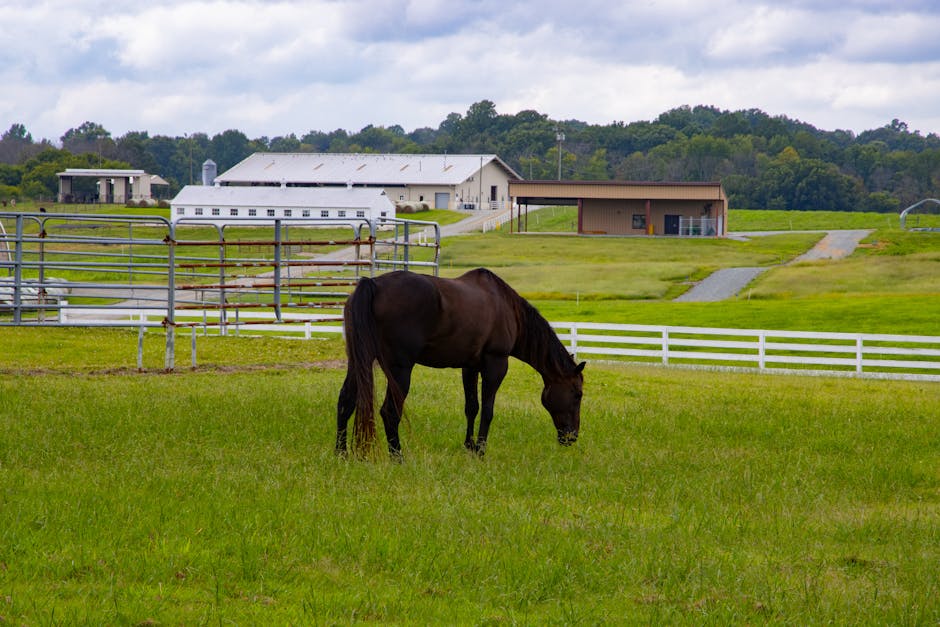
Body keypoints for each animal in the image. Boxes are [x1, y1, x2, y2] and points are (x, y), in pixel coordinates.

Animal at [336, 268, 588, 458]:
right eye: (577, 394)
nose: (572, 437)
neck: (507, 307)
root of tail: (373, 284)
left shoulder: (470, 367)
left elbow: (472, 407)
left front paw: (469, 446)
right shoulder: (496, 364)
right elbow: (487, 410)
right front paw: (481, 451)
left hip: (359, 362)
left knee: (345, 402)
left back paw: (342, 454)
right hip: (400, 370)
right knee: (390, 412)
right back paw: (398, 457)